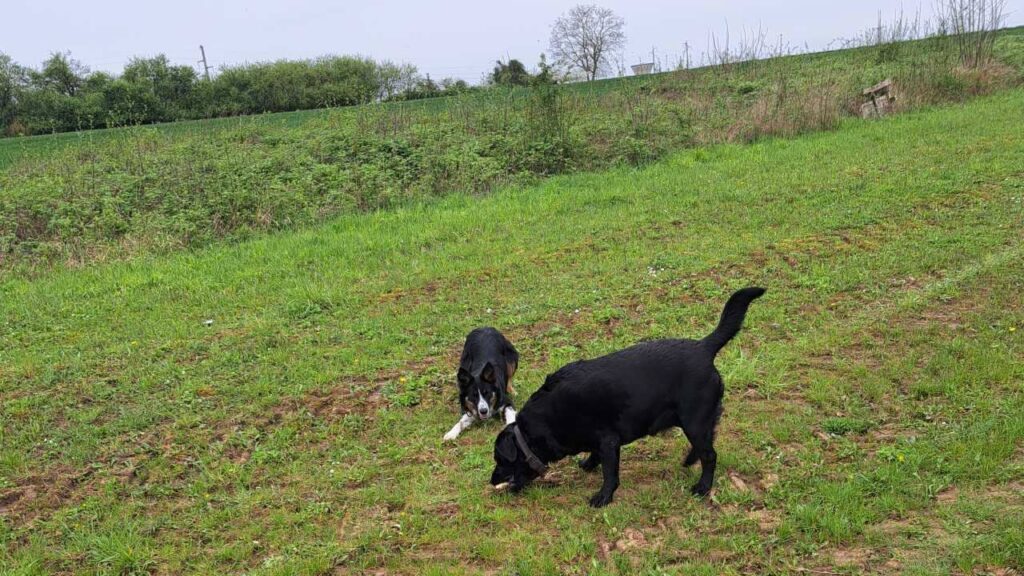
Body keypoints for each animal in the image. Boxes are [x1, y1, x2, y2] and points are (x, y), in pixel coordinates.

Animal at [489, 284, 770, 502]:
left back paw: (702, 487)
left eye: (500, 460)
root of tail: (704, 347)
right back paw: (690, 461)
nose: (492, 481)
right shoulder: (599, 441)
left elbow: (610, 474)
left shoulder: (608, 440)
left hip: (694, 420)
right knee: (707, 442)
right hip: (697, 420)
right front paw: (588, 465)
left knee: (710, 455)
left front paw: (603, 497)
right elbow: (595, 457)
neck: (542, 422)